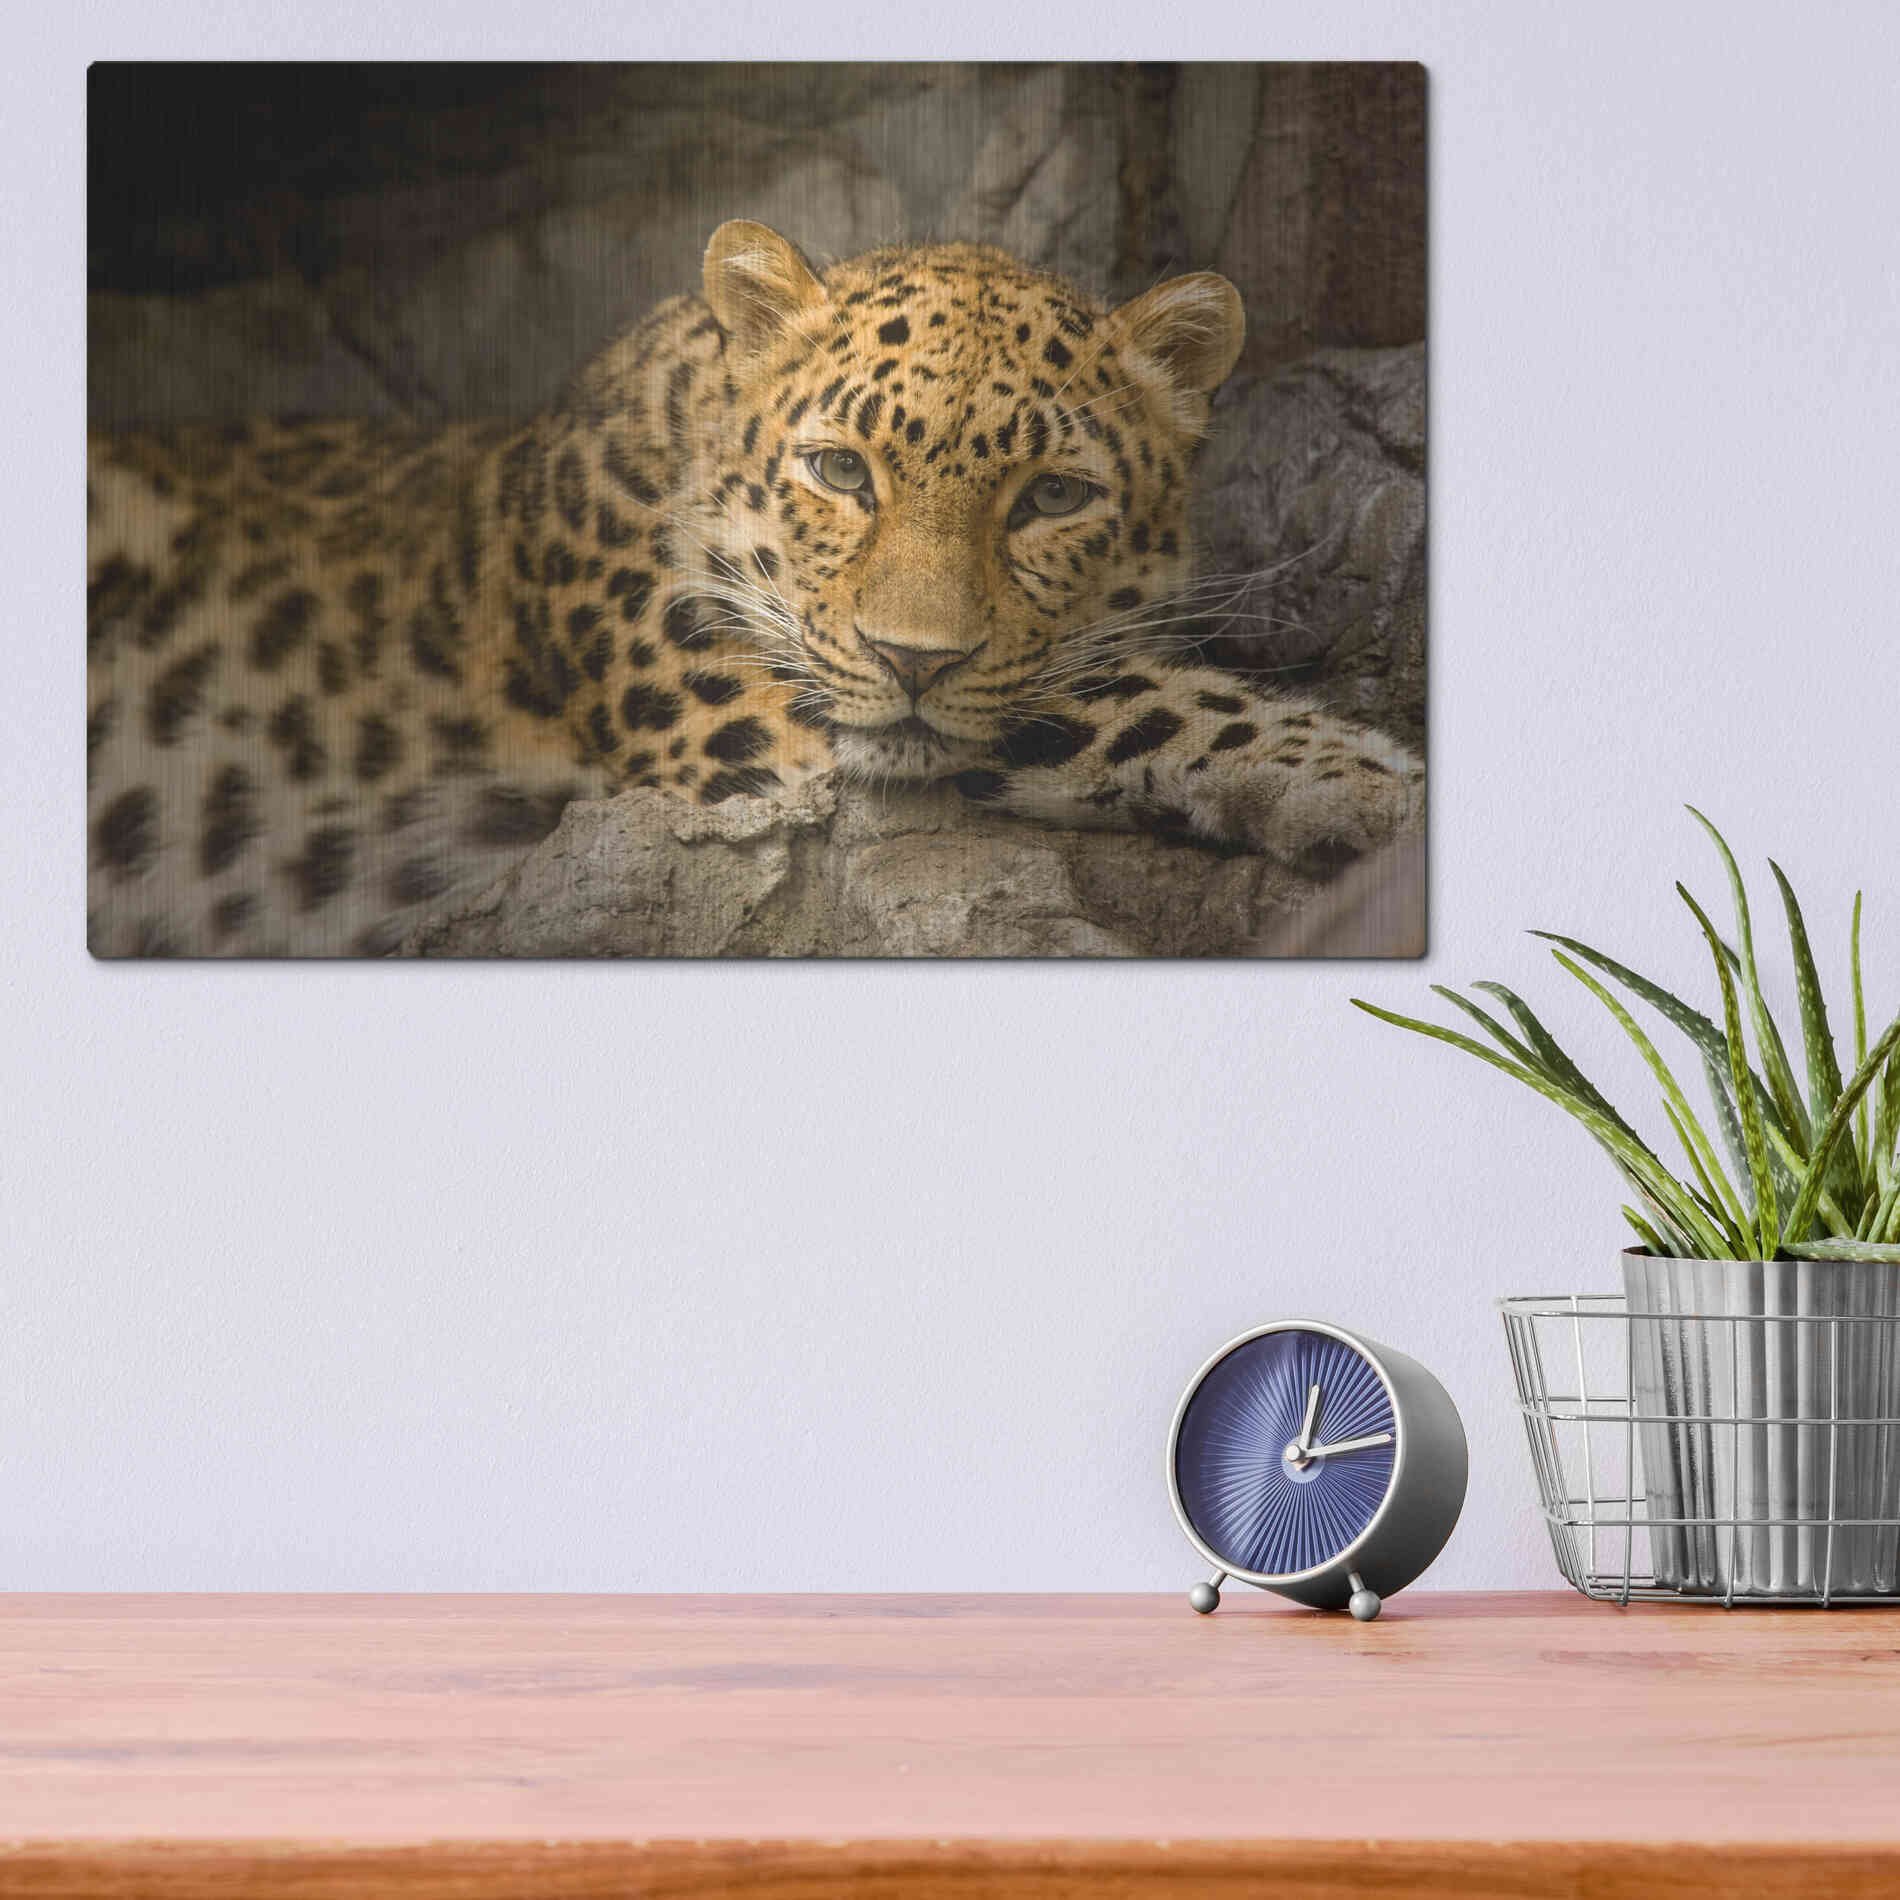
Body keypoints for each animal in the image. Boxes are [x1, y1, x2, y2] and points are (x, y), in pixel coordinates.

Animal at [87, 219, 1424, 956]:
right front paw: (1366, 780)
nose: (914, 658)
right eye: (839, 470)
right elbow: (1124, 699)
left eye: (1051, 497)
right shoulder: (752, 726)